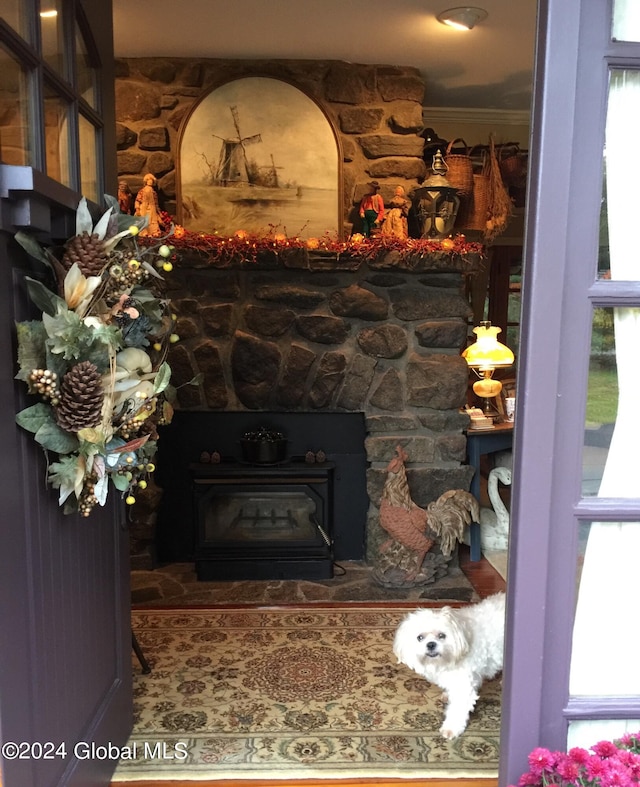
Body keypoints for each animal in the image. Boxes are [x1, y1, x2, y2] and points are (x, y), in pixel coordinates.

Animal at [396, 596, 504, 740]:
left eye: (442, 635)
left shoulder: (462, 685)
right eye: (420, 637)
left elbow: (457, 709)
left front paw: (451, 728)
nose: (431, 644)